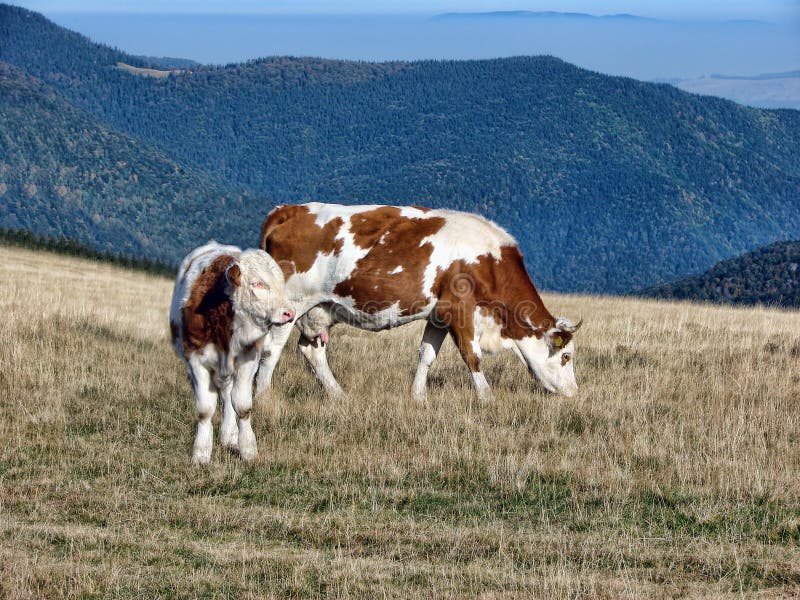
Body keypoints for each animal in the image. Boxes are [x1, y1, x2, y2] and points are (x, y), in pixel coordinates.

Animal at [170, 241, 295, 464]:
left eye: (282, 284)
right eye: (258, 284)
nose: (289, 313)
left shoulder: (248, 359)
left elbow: (242, 406)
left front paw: (248, 449)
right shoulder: (196, 360)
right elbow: (205, 410)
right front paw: (201, 453)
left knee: (228, 397)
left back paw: (229, 436)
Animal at [254, 203, 582, 402]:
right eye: (566, 356)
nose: (573, 392)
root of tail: (289, 210)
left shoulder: (438, 315)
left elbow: (426, 355)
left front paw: (418, 397)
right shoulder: (460, 309)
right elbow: (472, 356)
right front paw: (487, 397)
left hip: (320, 308)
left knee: (312, 350)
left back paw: (338, 395)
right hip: (291, 304)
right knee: (272, 349)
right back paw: (262, 396)